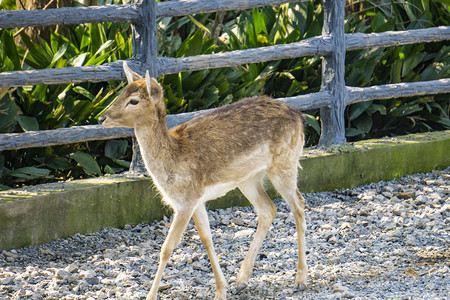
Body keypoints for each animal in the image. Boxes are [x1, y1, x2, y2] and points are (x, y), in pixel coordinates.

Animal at [98, 62, 308, 298]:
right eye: (121, 92)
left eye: (133, 100)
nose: (101, 118)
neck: (172, 163)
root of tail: (300, 118)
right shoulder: (197, 200)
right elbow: (207, 240)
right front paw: (221, 290)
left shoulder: (185, 201)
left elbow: (167, 248)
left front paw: (150, 295)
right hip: (248, 179)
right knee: (268, 209)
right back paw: (241, 280)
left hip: (285, 163)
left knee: (298, 205)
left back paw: (300, 279)